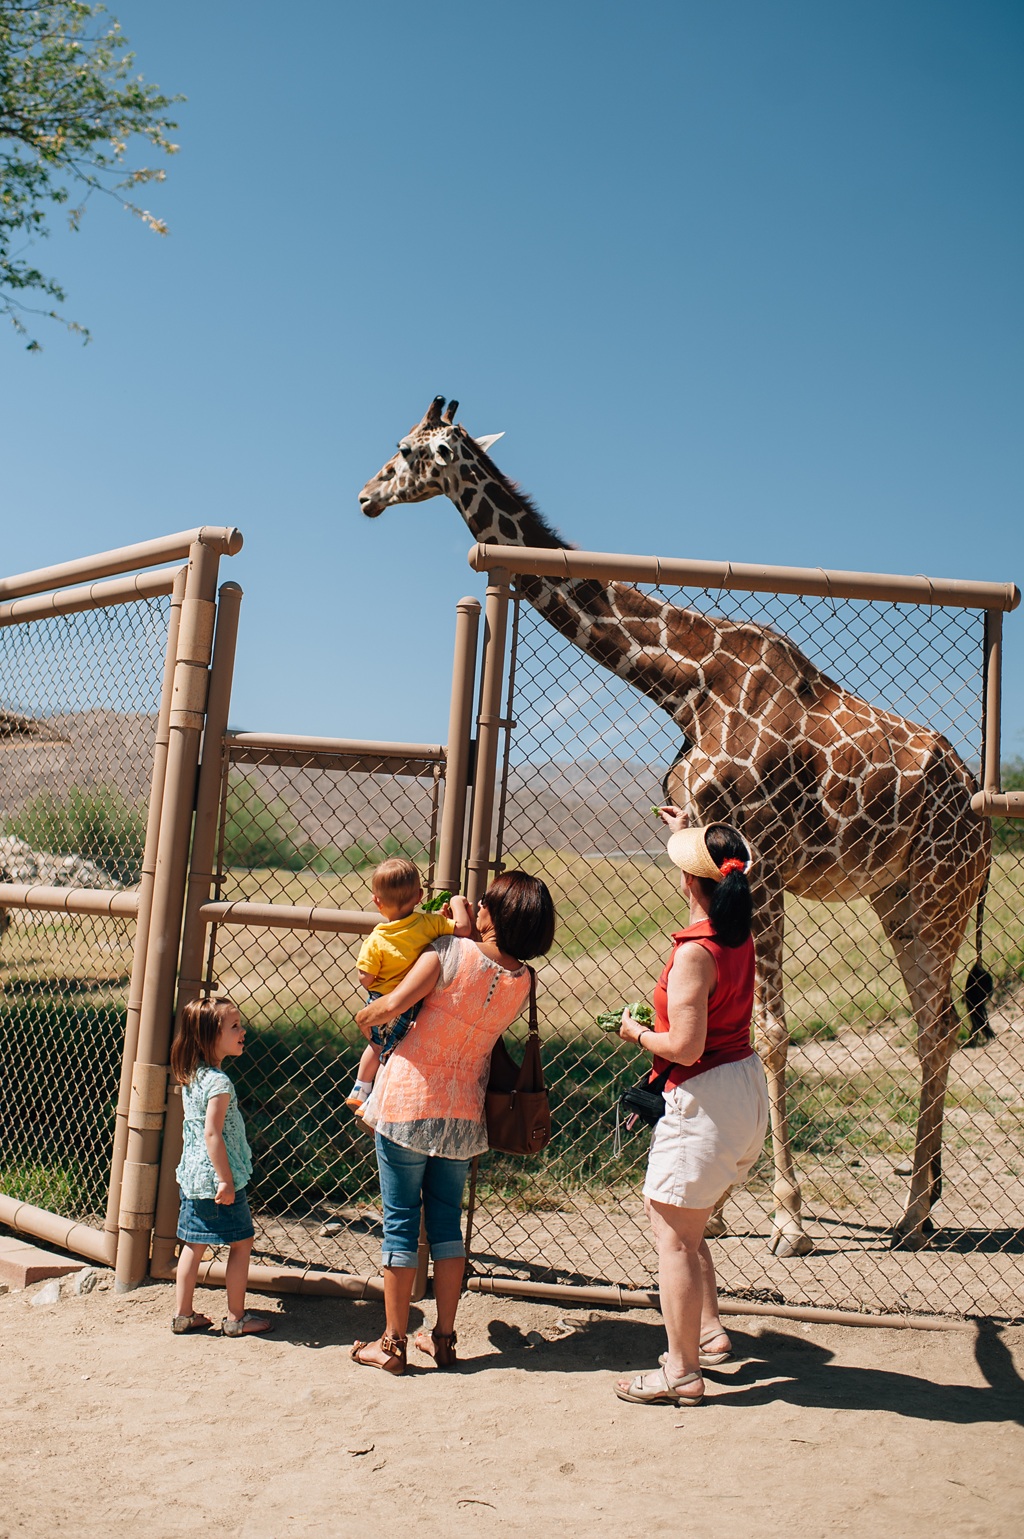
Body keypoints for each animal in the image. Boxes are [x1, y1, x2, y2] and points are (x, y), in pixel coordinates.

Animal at [357, 397, 991, 1249]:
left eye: (404, 449)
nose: (365, 495)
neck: (683, 685)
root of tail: (977, 802)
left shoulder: (763, 858)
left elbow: (770, 1032)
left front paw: (787, 1217)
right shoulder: (699, 847)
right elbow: (711, 1018)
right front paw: (718, 1210)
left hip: (939, 889)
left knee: (938, 1023)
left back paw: (916, 1210)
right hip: (898, 896)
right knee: (935, 1021)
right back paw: (915, 1212)